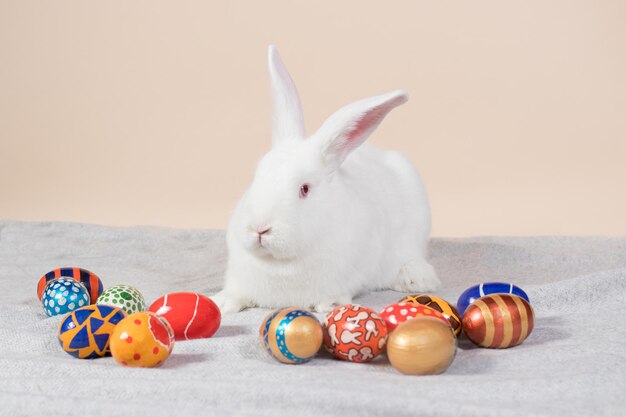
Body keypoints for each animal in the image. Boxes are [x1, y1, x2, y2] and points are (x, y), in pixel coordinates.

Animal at [211, 45, 438, 312]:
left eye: (304, 189)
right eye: (256, 177)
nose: (260, 228)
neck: (280, 265)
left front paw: (330, 306)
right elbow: (236, 292)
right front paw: (222, 303)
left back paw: (416, 279)